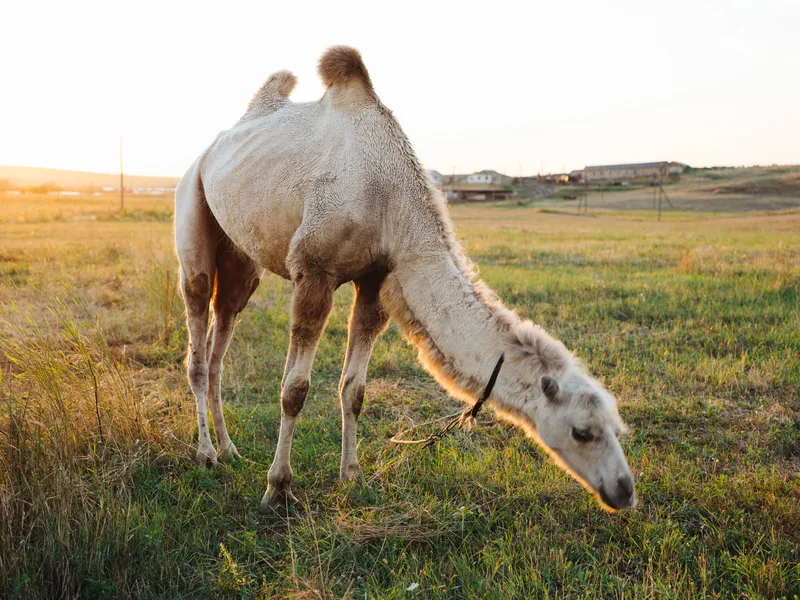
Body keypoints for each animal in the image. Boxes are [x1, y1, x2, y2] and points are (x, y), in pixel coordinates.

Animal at [174, 46, 636, 511]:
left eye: (617, 427)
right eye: (582, 431)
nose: (624, 489)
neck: (390, 199)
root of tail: (208, 151)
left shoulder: (376, 279)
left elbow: (355, 389)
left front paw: (352, 475)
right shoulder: (314, 271)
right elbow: (295, 390)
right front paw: (278, 487)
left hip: (240, 258)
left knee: (222, 330)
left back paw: (230, 448)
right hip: (191, 205)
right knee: (197, 334)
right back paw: (206, 454)